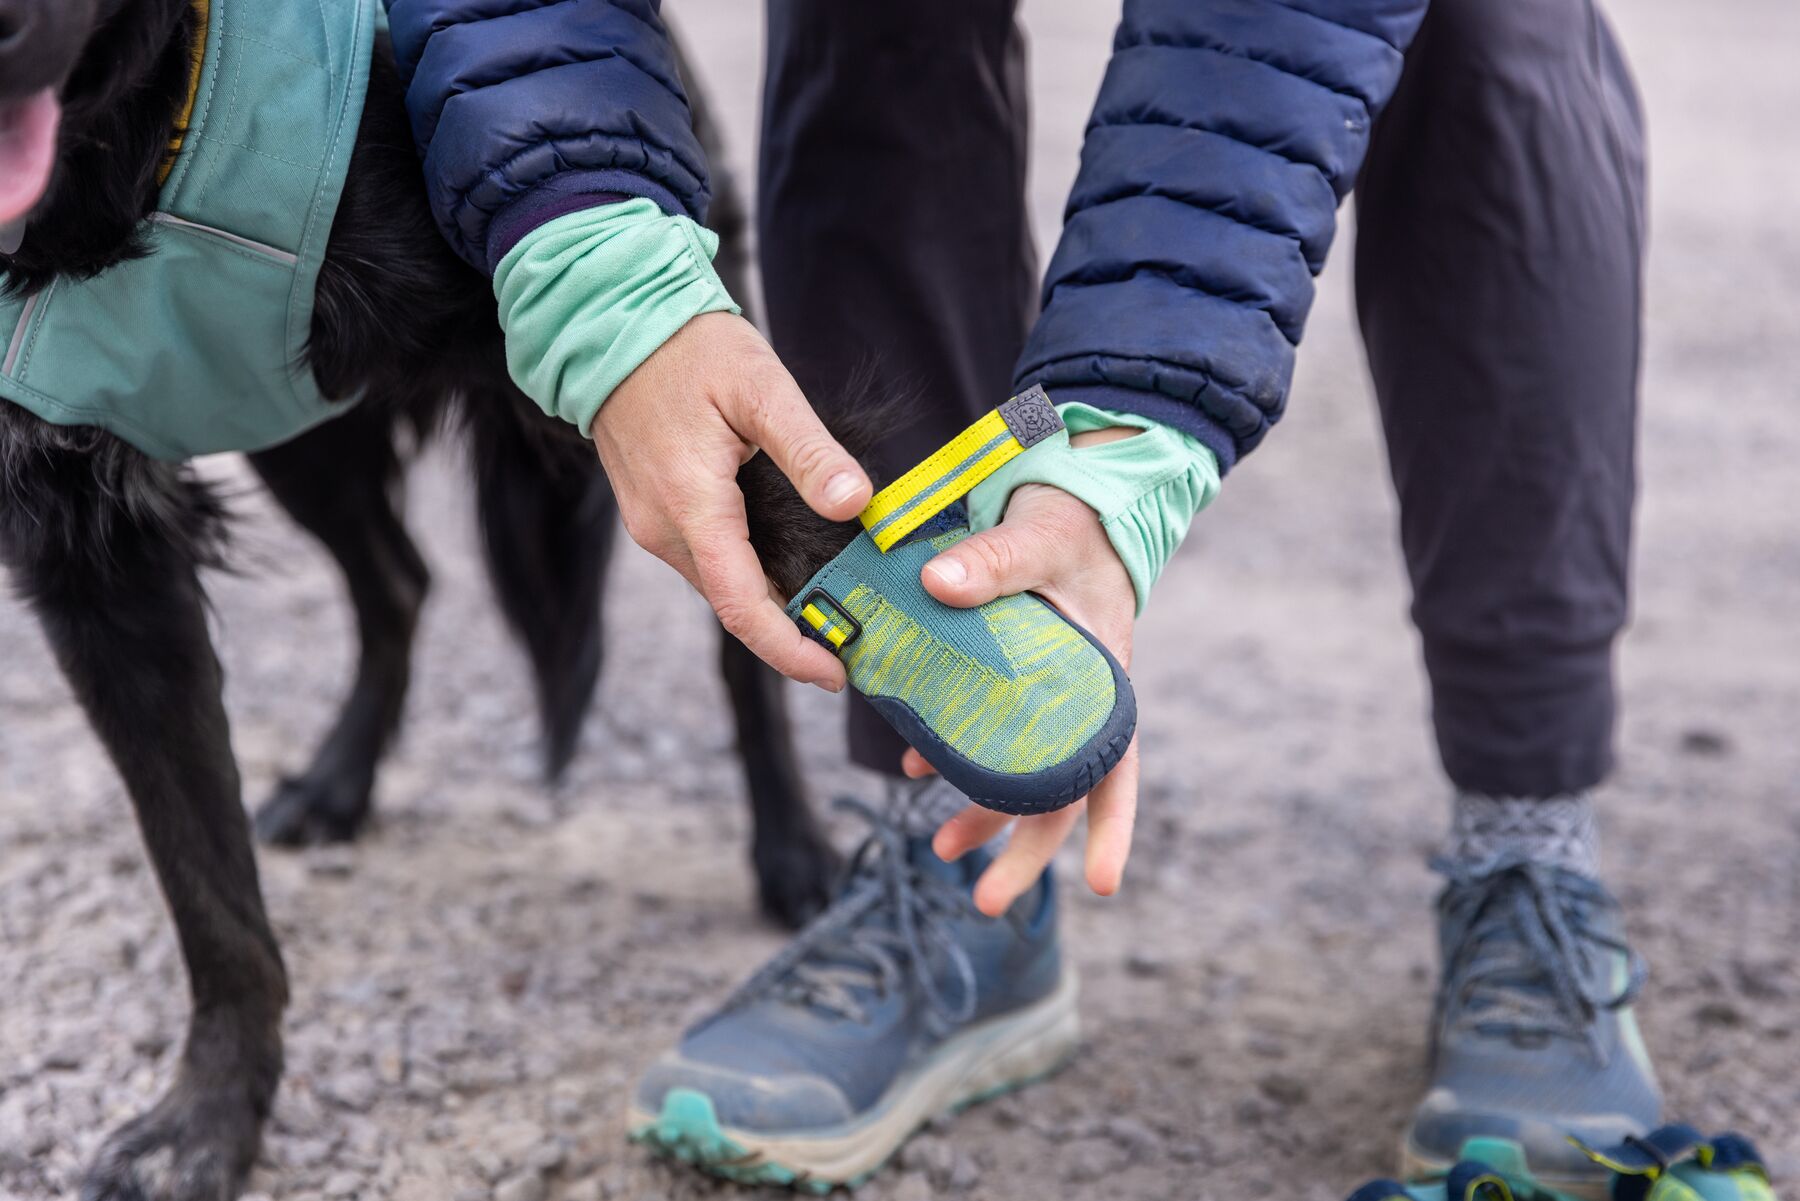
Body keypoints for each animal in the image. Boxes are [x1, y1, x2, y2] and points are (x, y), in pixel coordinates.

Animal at [0, 4, 864, 1195]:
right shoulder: (93, 556)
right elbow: (205, 881)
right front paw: (209, 1119)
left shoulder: (597, 316)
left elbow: (807, 536)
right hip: (293, 425)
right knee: (399, 582)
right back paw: (335, 783)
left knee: (733, 641)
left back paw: (794, 854)